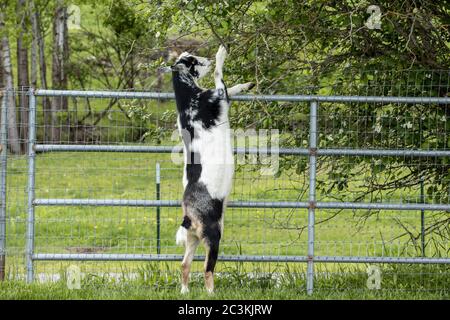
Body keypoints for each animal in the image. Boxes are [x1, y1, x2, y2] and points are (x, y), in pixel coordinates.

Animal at [168, 46, 255, 294]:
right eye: (193, 60)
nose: (204, 58)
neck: (189, 99)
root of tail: (188, 216)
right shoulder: (217, 95)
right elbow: (219, 75)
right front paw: (221, 53)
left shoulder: (221, 96)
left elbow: (231, 87)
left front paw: (248, 85)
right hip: (213, 236)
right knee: (207, 269)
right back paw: (210, 293)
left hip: (192, 238)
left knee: (184, 264)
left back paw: (185, 291)